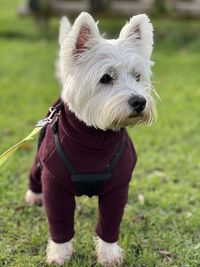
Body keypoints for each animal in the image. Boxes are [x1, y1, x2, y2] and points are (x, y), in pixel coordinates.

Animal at [24, 13, 156, 267]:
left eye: (137, 76)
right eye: (105, 78)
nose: (139, 101)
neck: (96, 137)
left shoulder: (117, 187)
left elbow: (110, 223)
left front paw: (109, 255)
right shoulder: (54, 184)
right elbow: (60, 223)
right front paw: (60, 255)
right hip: (40, 159)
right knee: (34, 173)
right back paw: (33, 196)